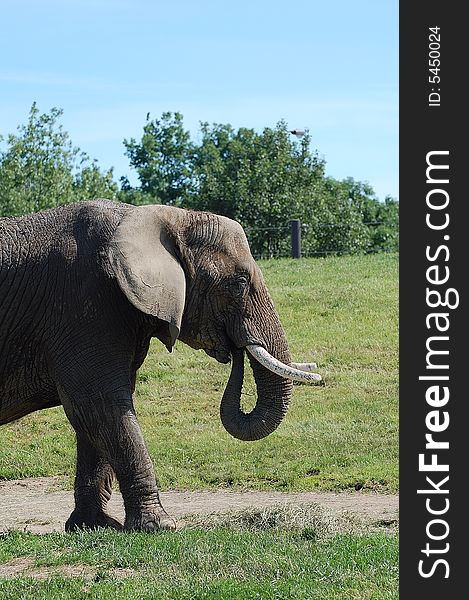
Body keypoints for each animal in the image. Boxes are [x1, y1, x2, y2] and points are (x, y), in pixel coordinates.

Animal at [0, 199, 320, 532]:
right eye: (238, 284)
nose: (234, 351)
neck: (165, 217)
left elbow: (92, 417)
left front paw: (94, 526)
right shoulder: (81, 304)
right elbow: (99, 405)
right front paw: (161, 526)